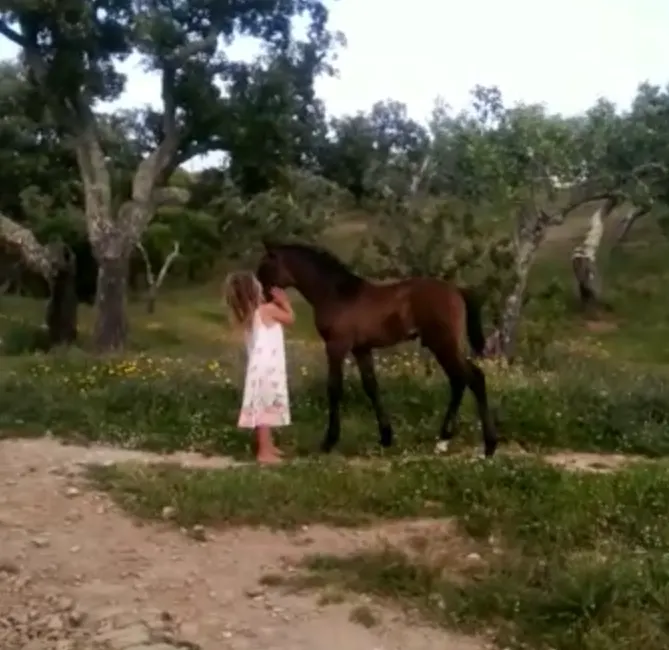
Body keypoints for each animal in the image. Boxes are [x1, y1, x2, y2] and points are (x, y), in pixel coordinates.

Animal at [256, 240, 498, 458]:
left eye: (265, 266)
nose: (263, 297)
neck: (336, 293)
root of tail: (458, 290)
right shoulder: (361, 349)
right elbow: (371, 386)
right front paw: (386, 437)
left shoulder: (336, 346)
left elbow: (334, 388)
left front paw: (329, 442)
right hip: (445, 345)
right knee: (462, 380)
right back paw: (447, 439)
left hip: (442, 344)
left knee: (471, 378)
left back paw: (485, 445)